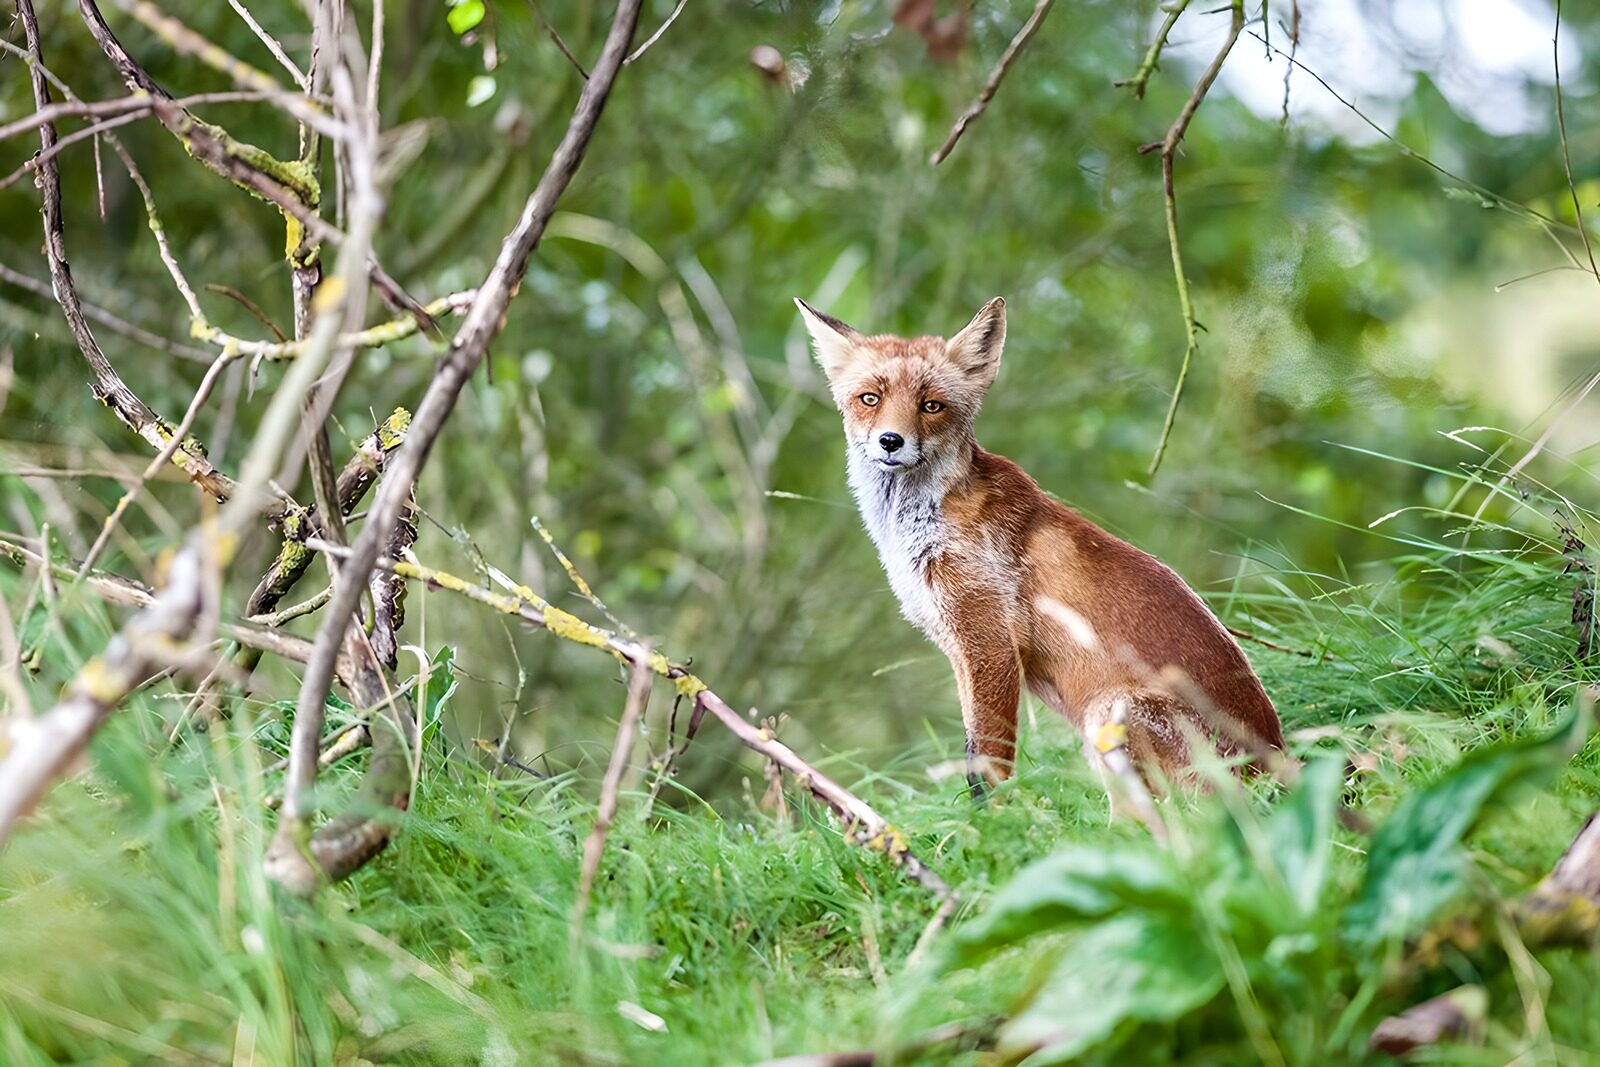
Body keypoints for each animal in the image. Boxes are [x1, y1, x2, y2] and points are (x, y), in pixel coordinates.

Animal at [796, 295, 1285, 794]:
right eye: (869, 399)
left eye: (931, 405)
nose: (891, 441)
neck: (915, 528)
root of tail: (1272, 764)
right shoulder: (960, 651)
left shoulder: (990, 643)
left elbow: (987, 767)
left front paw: (996, 817)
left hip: (1107, 717)